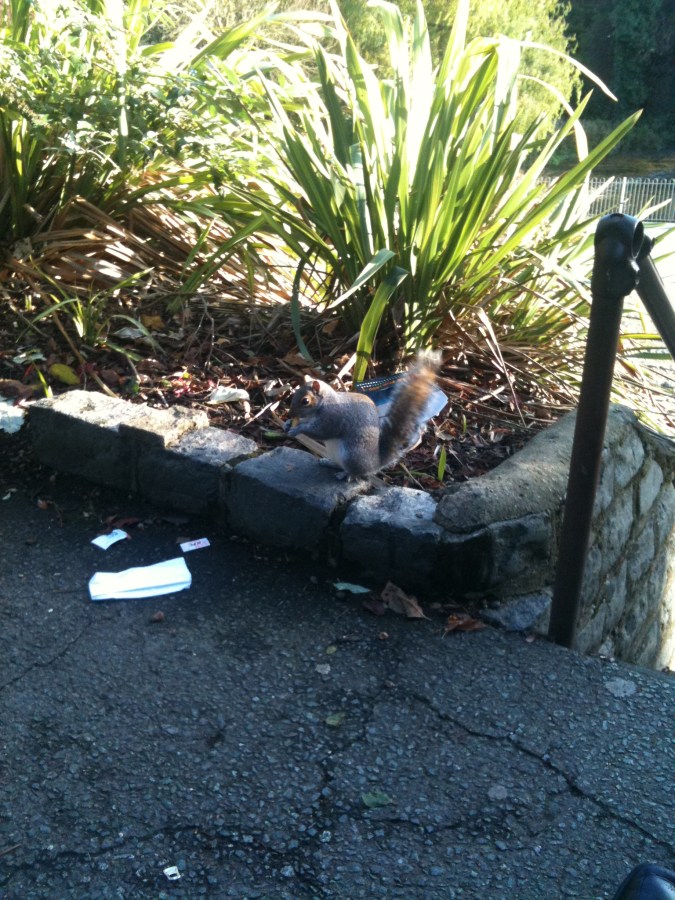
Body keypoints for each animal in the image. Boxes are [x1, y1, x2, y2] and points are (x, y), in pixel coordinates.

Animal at [284, 350, 442, 479]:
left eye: (305, 401)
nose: (290, 413)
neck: (324, 404)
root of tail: (375, 463)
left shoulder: (333, 417)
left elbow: (321, 431)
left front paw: (297, 430)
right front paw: (287, 424)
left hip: (352, 456)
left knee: (356, 472)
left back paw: (345, 474)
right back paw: (329, 463)